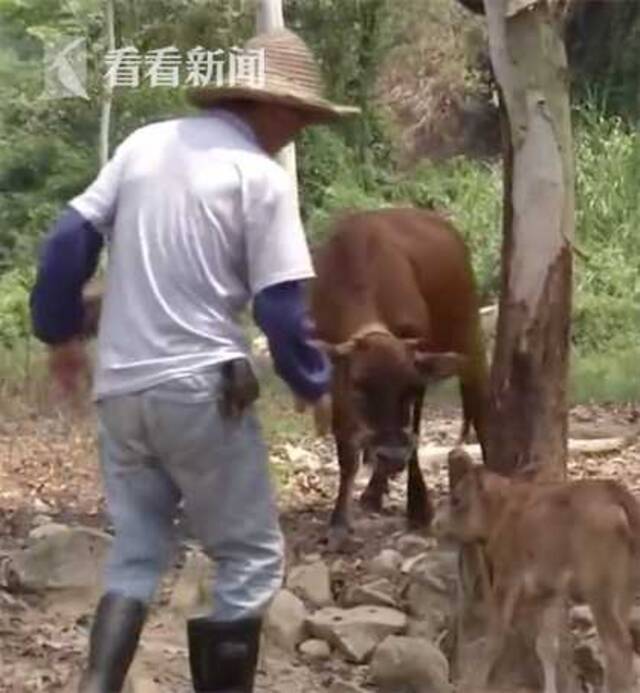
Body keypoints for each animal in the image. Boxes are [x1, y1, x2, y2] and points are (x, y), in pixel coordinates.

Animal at [308, 207, 484, 548]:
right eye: (359, 388)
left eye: (409, 388)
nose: (391, 455)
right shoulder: (338, 380)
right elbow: (346, 449)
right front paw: (338, 522)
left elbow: (413, 433)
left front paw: (418, 505)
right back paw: (375, 487)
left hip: (469, 332)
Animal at [436, 448, 640, 692]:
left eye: (456, 499)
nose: (436, 522)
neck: (503, 508)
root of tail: (618, 496)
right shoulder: (551, 592)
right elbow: (547, 646)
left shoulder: (507, 579)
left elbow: (495, 637)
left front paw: (476, 683)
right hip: (624, 591)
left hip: (601, 594)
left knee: (618, 648)